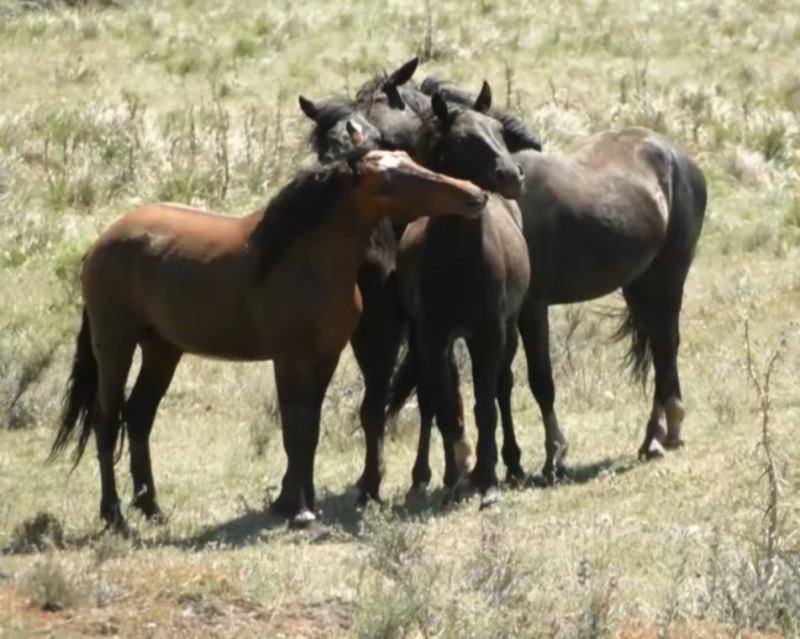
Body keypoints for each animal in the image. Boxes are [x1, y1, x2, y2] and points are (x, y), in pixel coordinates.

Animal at [50, 142, 490, 532]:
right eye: (392, 178)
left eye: (411, 160)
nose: (475, 195)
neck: (301, 260)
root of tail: (99, 245)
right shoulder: (289, 358)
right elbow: (294, 430)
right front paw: (300, 510)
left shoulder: (325, 356)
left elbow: (309, 429)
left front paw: (302, 503)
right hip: (115, 345)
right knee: (108, 422)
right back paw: (115, 517)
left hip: (162, 349)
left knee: (139, 417)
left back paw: (152, 510)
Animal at [296, 61, 548, 510]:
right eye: (324, 153)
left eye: (385, 140)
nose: (511, 174)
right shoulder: (381, 330)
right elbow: (386, 404)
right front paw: (375, 482)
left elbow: (458, 398)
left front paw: (464, 472)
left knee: (497, 387)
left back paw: (503, 465)